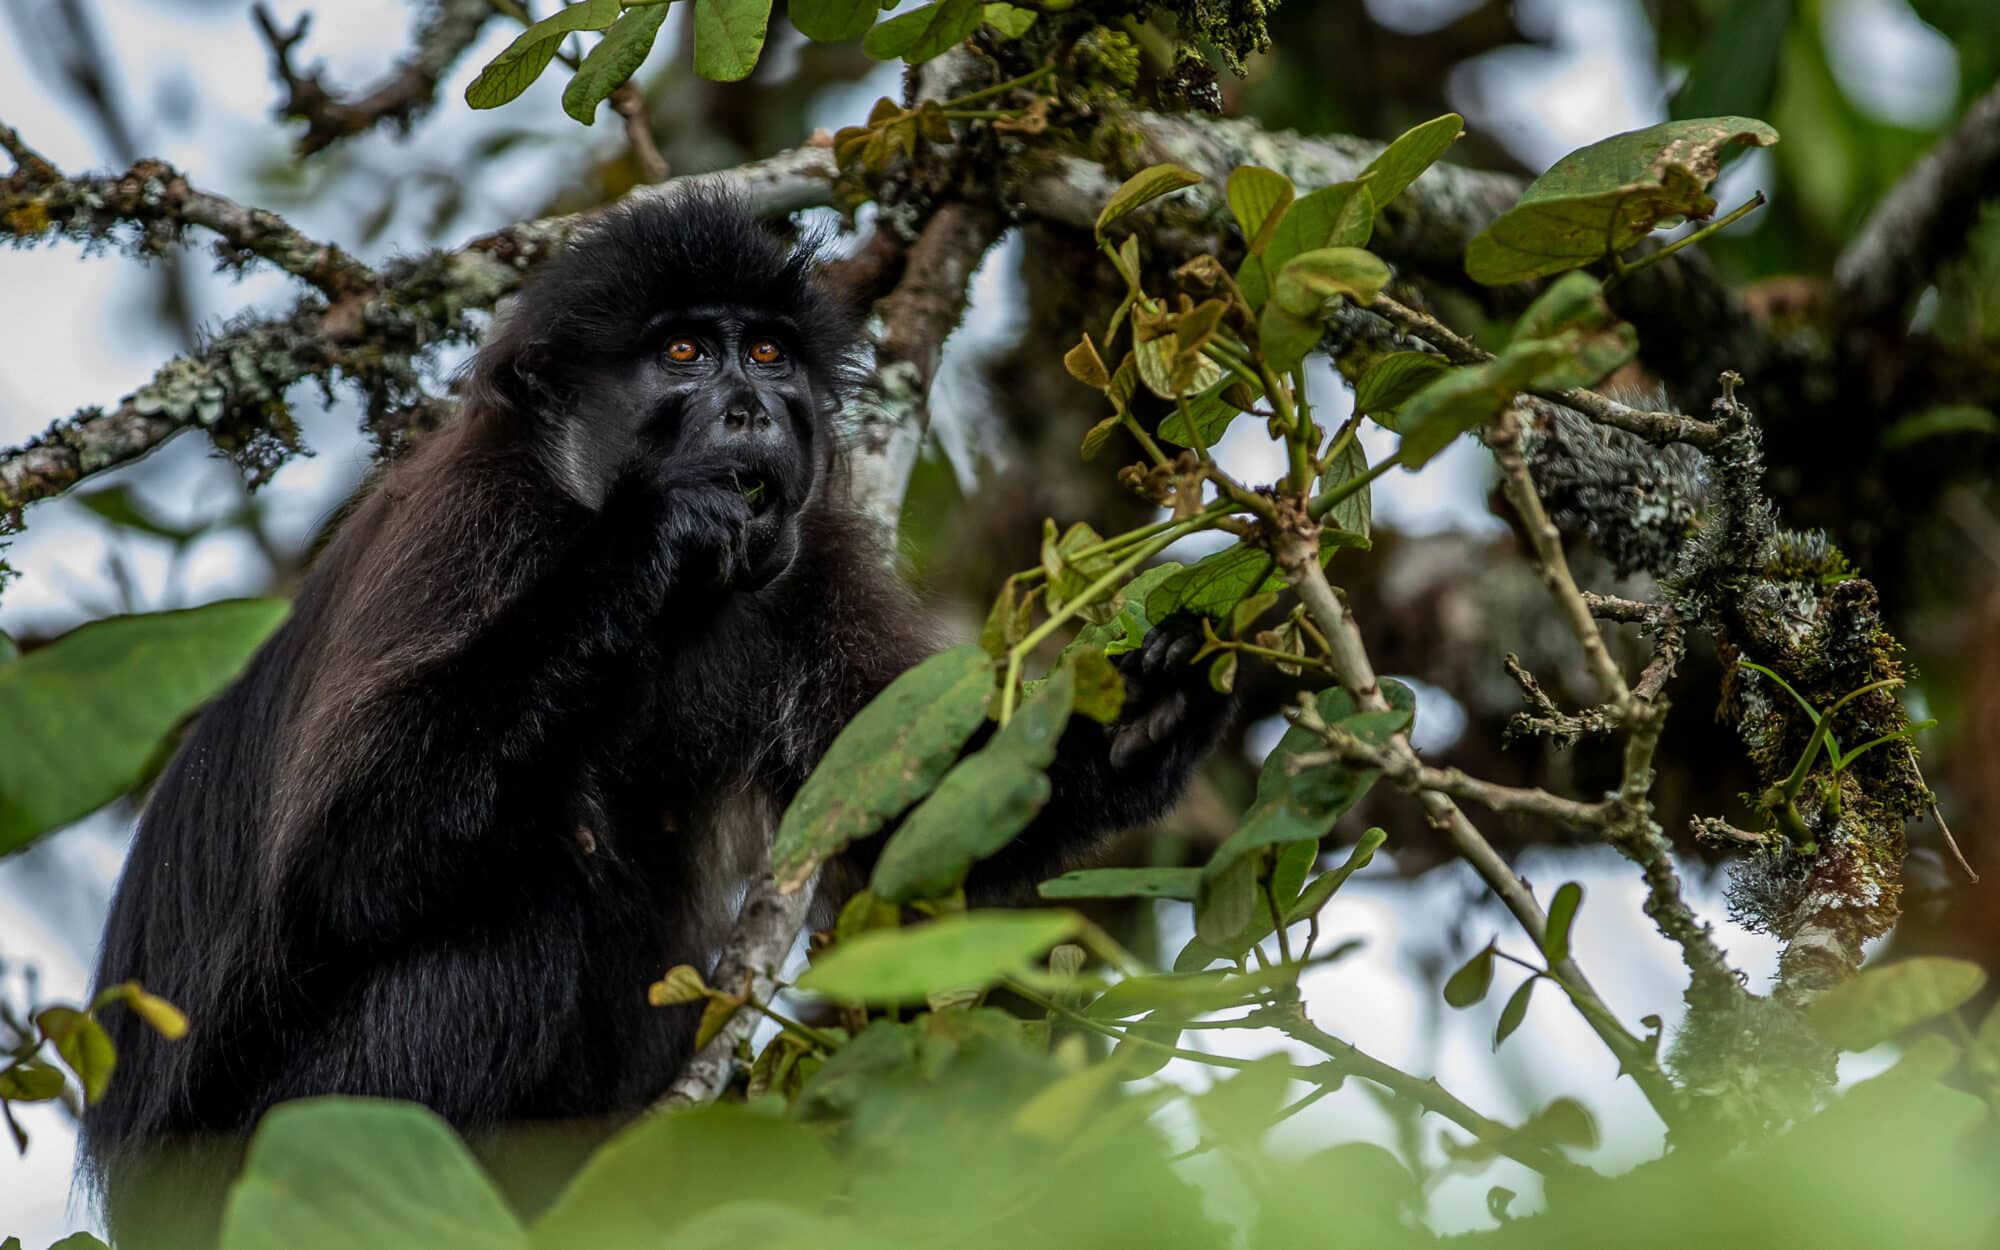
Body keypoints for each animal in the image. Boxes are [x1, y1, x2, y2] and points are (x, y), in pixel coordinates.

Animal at [80, 192, 1229, 1235]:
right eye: (682, 352)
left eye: (765, 353)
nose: (750, 408)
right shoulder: (474, 526)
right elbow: (342, 862)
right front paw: (656, 533)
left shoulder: (807, 564)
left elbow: (916, 828)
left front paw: (1143, 717)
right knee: (511, 918)